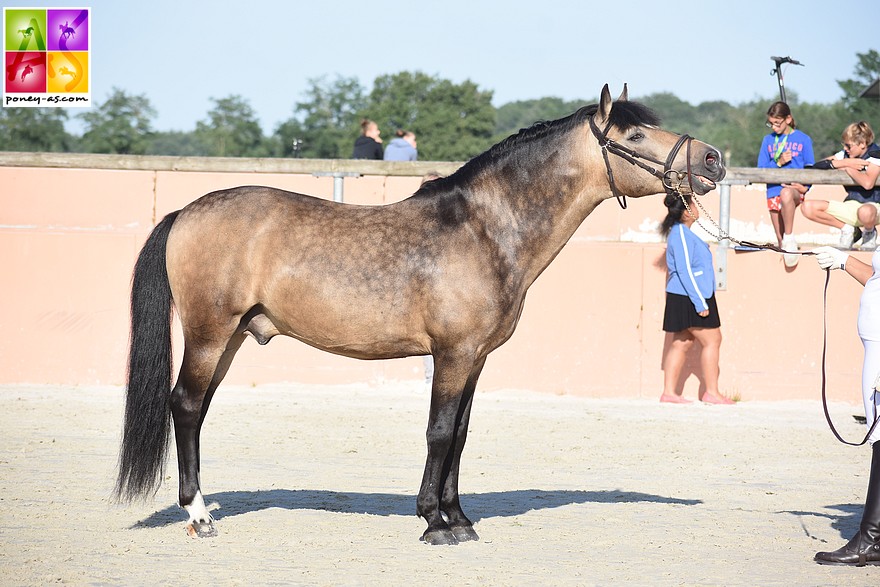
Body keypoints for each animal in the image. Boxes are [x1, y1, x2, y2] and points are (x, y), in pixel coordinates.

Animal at [115, 84, 720, 548]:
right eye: (634, 136)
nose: (712, 158)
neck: (484, 232)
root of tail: (184, 212)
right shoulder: (450, 354)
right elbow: (438, 431)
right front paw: (434, 522)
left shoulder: (475, 358)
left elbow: (461, 434)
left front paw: (460, 518)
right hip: (209, 333)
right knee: (185, 405)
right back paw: (198, 516)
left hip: (233, 337)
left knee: (196, 410)